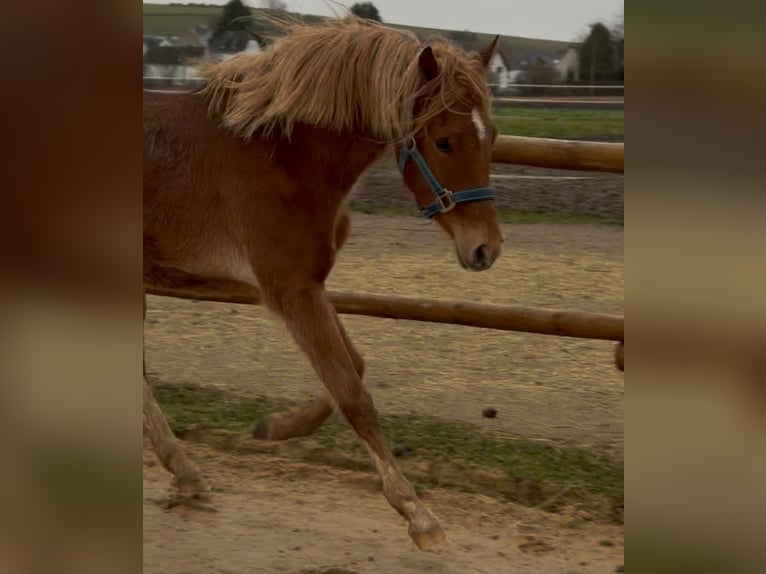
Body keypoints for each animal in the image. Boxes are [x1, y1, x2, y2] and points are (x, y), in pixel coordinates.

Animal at [143, 16, 503, 551]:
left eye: (491, 135)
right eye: (444, 141)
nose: (486, 249)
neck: (277, 154)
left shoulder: (311, 286)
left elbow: (353, 368)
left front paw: (274, 427)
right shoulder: (291, 290)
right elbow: (353, 395)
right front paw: (417, 514)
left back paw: (185, 473)